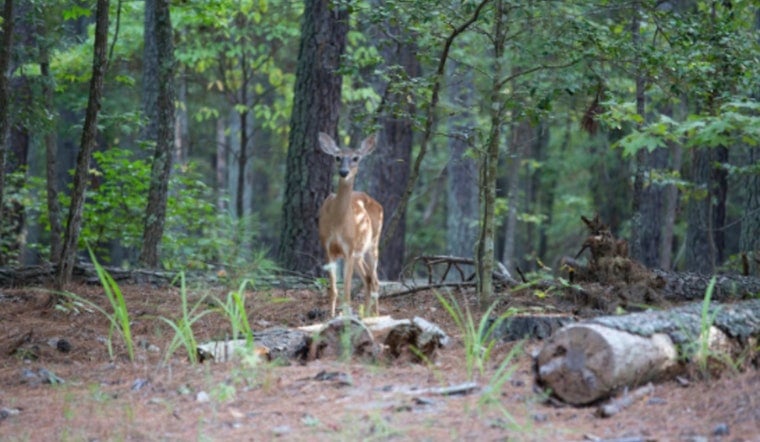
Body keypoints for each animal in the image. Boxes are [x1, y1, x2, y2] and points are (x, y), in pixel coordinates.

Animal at [317, 132, 383, 317]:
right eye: (337, 157)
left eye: (355, 158)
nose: (343, 172)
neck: (337, 222)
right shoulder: (328, 248)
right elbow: (333, 291)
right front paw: (331, 317)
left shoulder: (349, 249)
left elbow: (346, 292)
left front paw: (344, 318)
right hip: (359, 253)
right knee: (368, 278)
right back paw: (366, 314)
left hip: (373, 243)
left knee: (375, 280)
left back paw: (375, 315)